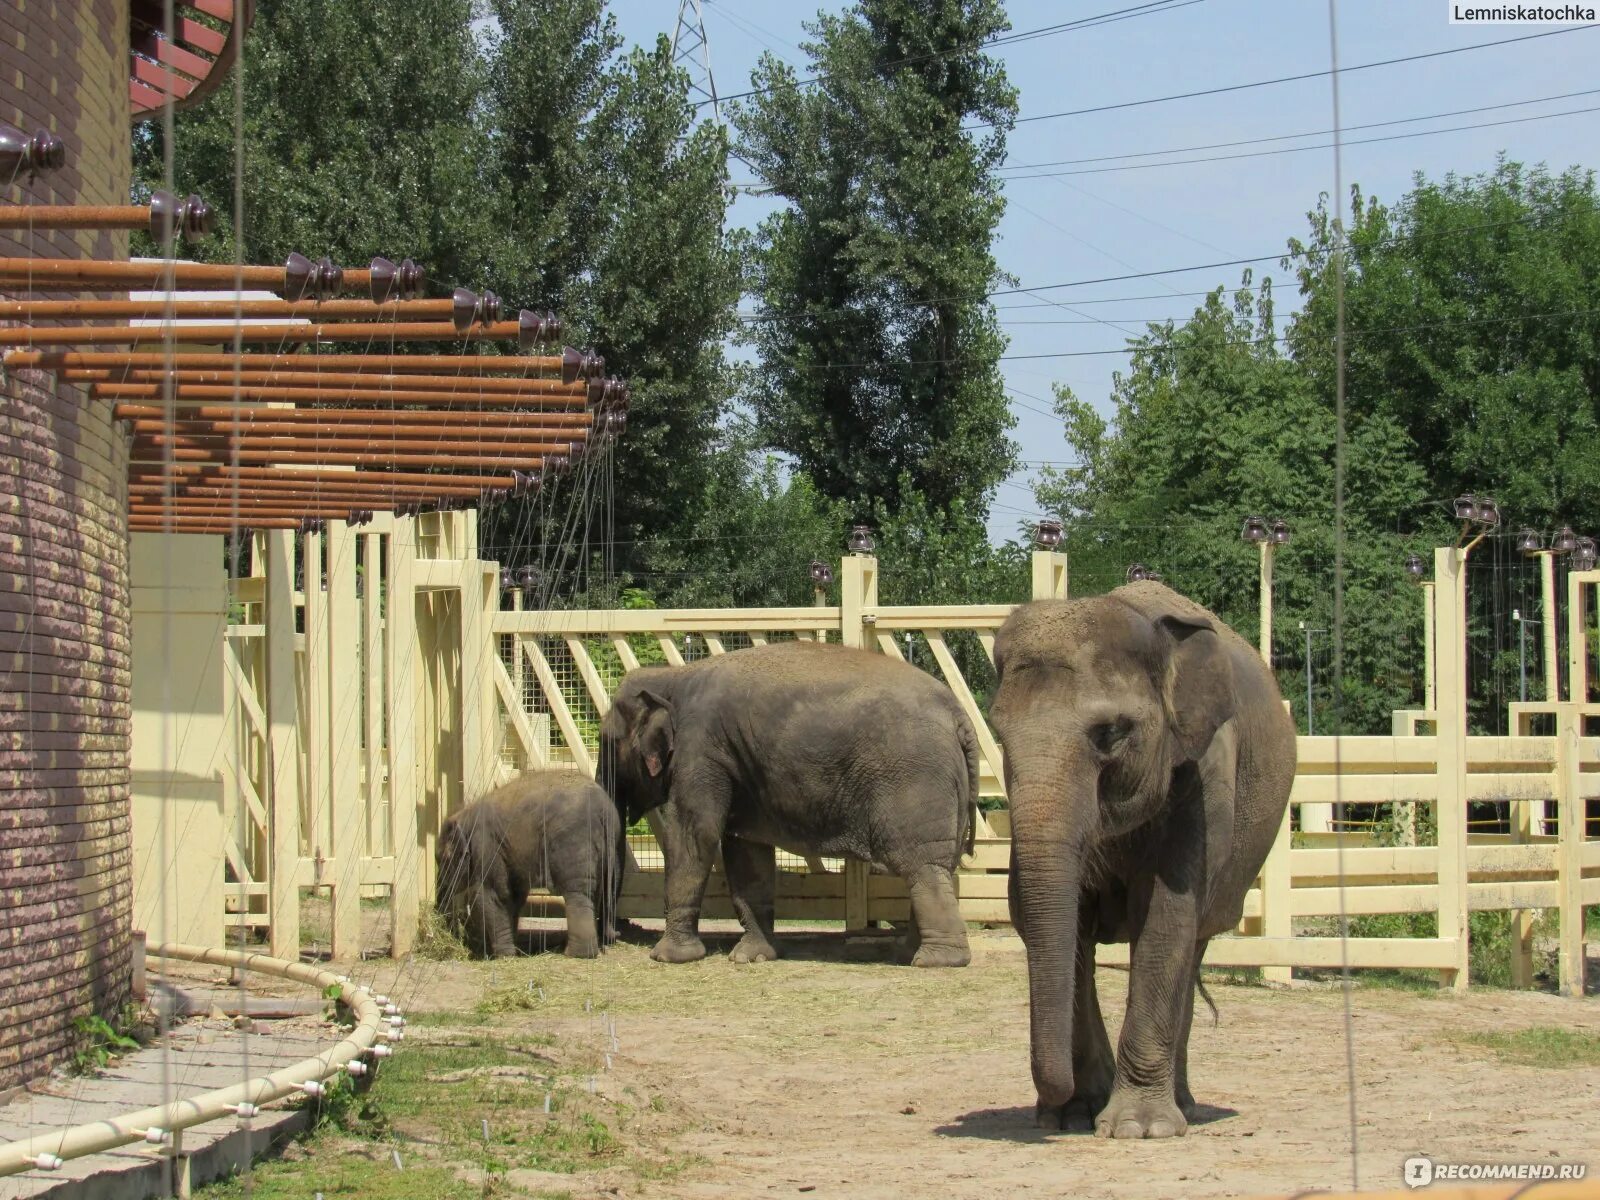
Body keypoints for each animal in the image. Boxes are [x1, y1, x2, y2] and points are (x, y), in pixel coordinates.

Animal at [438, 774, 624, 966]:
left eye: (440, 859)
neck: (464, 816)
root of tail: (605, 812)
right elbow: (513, 896)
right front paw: (511, 950)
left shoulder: (486, 846)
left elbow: (494, 895)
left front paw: (503, 956)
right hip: (611, 850)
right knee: (598, 893)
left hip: (574, 842)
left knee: (578, 894)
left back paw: (576, 954)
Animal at [598, 643, 972, 972]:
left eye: (607, 742)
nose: (616, 933)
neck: (674, 676)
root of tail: (957, 714)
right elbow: (747, 850)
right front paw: (753, 957)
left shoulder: (701, 750)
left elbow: (695, 834)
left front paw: (668, 958)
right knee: (936, 867)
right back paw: (909, 953)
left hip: (916, 780)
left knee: (921, 866)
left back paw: (935, 961)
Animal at [985, 588, 1299, 1139]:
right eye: (999, 735)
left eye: (1110, 732)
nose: (1051, 1101)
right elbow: (1061, 925)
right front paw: (1075, 1114)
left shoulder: (1201, 776)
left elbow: (1166, 918)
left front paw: (1138, 1127)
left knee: (1190, 948)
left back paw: (1184, 1107)